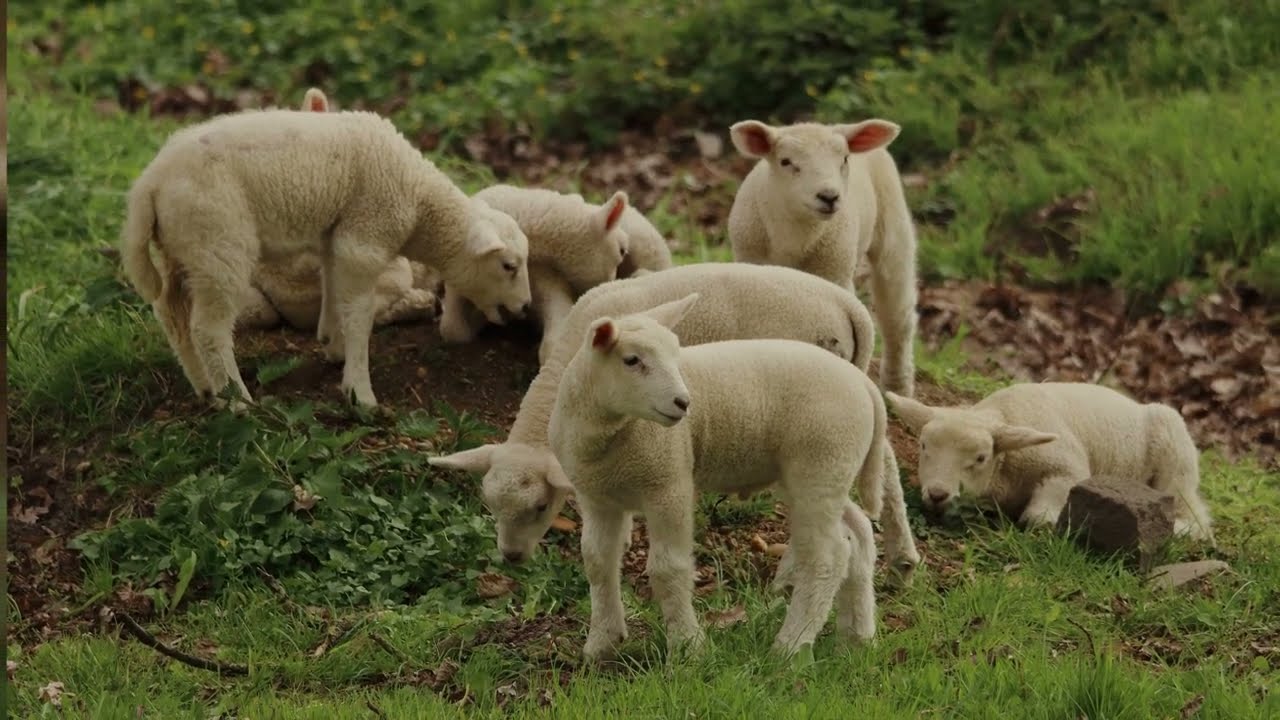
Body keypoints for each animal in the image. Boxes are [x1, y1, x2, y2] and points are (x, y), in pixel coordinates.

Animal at [427, 262, 921, 588]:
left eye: (540, 507)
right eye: (490, 506)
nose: (511, 557)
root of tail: (849, 306)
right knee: (885, 455)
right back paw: (903, 554)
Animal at [546, 294, 886, 661]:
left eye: (677, 356)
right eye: (632, 360)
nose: (684, 403)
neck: (610, 434)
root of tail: (864, 383)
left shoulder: (668, 484)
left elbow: (668, 568)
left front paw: (688, 647)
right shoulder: (596, 497)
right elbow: (597, 563)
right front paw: (601, 644)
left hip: (821, 461)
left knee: (826, 557)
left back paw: (790, 646)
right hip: (825, 472)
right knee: (858, 534)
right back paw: (857, 637)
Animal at [727, 118, 919, 398]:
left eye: (845, 159)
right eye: (786, 161)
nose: (829, 196)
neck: (795, 238)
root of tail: (836, 123)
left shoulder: (835, 271)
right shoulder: (751, 261)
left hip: (893, 225)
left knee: (897, 315)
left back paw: (897, 388)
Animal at [885, 382, 1215, 541]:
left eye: (980, 458)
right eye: (923, 446)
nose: (937, 494)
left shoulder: (1067, 467)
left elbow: (1041, 514)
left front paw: (1042, 521)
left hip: (1176, 463)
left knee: (1196, 518)